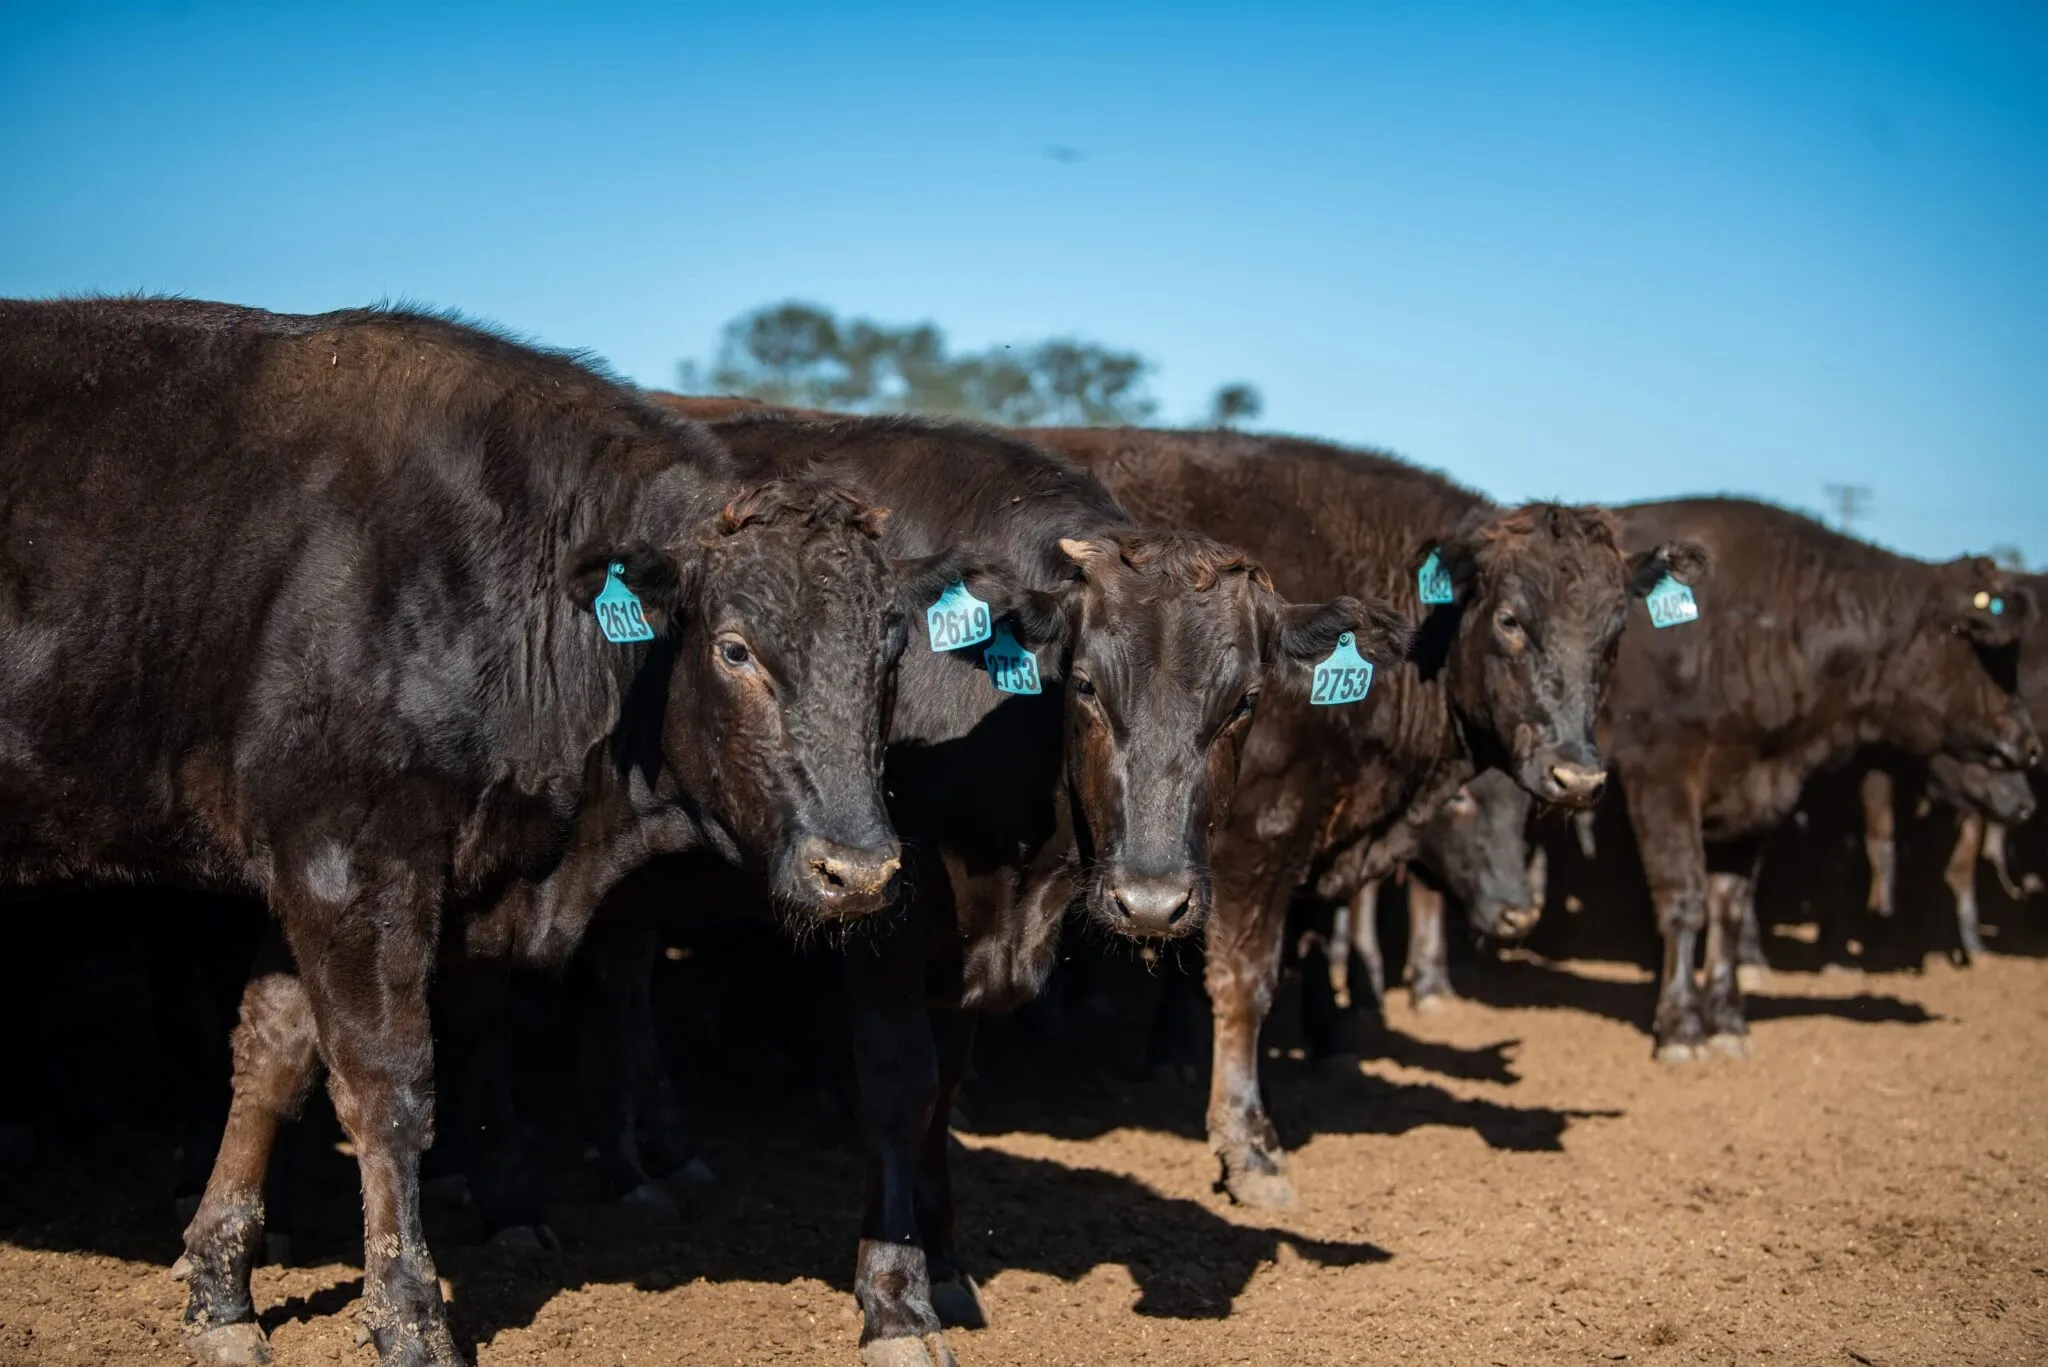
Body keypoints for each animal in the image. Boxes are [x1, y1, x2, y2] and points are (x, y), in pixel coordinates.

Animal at [0, 298, 938, 1367]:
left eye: (892, 649)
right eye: (736, 648)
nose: (858, 871)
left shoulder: (311, 872)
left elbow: (273, 1058)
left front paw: (222, 1292)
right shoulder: (353, 861)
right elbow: (388, 1086)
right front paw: (410, 1316)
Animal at [640, 398, 1409, 1367]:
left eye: (1241, 701)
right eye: (1084, 685)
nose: (1152, 901)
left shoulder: (970, 958)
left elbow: (946, 1093)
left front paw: (945, 1265)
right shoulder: (881, 912)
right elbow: (901, 1086)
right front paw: (895, 1299)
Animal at [1027, 427, 1704, 1207]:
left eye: (1615, 636)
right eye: (1510, 621)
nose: (1579, 774)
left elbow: (1309, 944)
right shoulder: (1253, 841)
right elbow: (1244, 981)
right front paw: (1249, 1144)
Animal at [1601, 499, 2039, 1062]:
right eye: (1976, 642)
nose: (2029, 743)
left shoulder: (1750, 801)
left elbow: (1728, 908)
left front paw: (1728, 1020)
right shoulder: (1660, 774)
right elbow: (1683, 900)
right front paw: (1680, 1028)